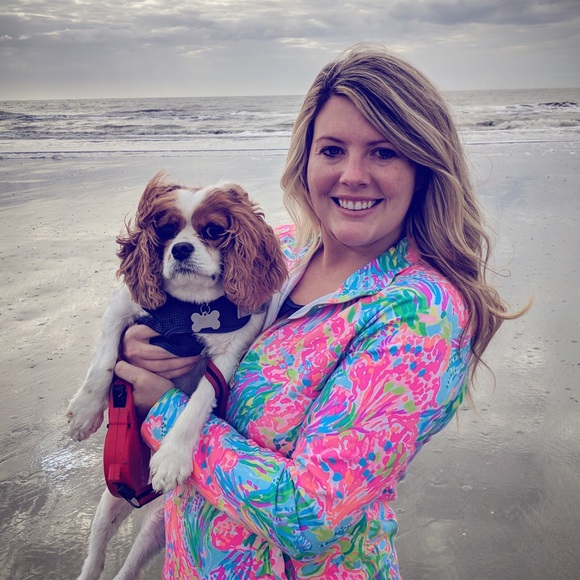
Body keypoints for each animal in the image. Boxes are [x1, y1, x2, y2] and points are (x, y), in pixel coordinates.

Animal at [66, 172, 287, 579]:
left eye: (213, 230)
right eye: (166, 232)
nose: (181, 249)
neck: (190, 308)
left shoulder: (228, 353)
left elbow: (199, 401)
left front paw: (171, 456)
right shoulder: (122, 305)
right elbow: (105, 357)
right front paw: (86, 411)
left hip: (155, 525)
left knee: (129, 568)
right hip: (111, 499)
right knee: (96, 555)